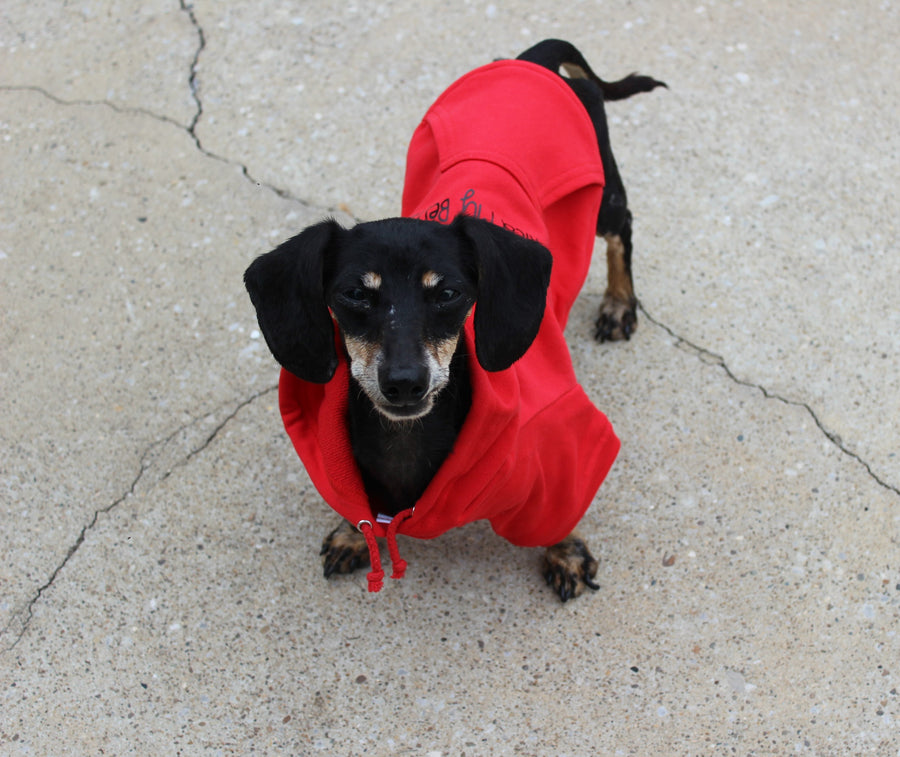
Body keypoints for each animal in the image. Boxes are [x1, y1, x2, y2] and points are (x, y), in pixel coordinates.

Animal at [243, 39, 664, 596]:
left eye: (447, 292)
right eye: (354, 293)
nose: (404, 383)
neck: (407, 440)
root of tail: (532, 60)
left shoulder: (559, 437)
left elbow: (561, 502)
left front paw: (567, 549)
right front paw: (354, 532)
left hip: (604, 193)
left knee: (622, 232)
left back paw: (619, 303)